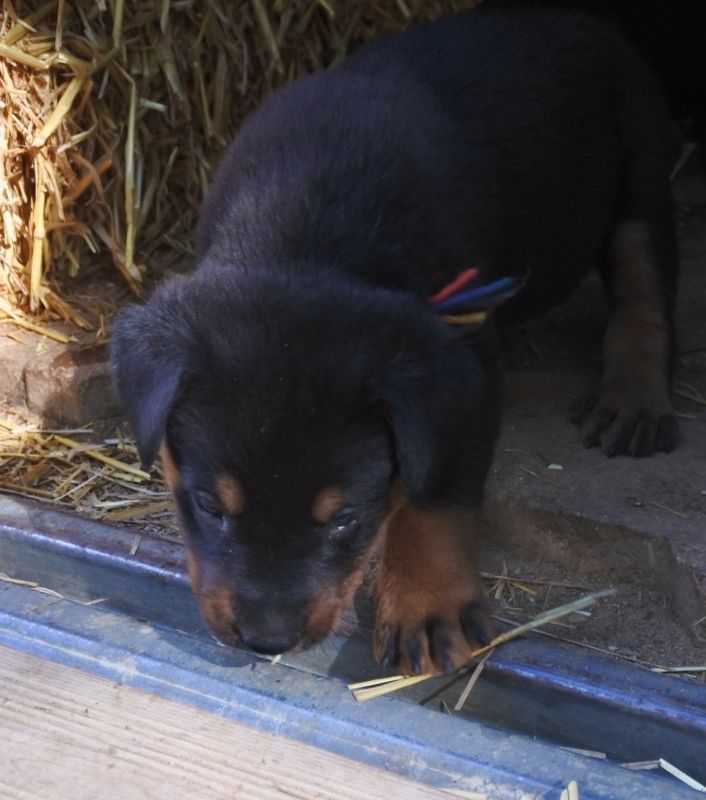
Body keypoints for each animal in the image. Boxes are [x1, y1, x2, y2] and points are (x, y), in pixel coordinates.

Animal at [112, 5, 680, 675]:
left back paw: (634, 399)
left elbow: (433, 489)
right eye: (209, 506)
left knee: (644, 283)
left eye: (346, 520)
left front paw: (428, 604)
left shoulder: (467, 360)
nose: (267, 640)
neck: (308, 232)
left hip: (641, 160)